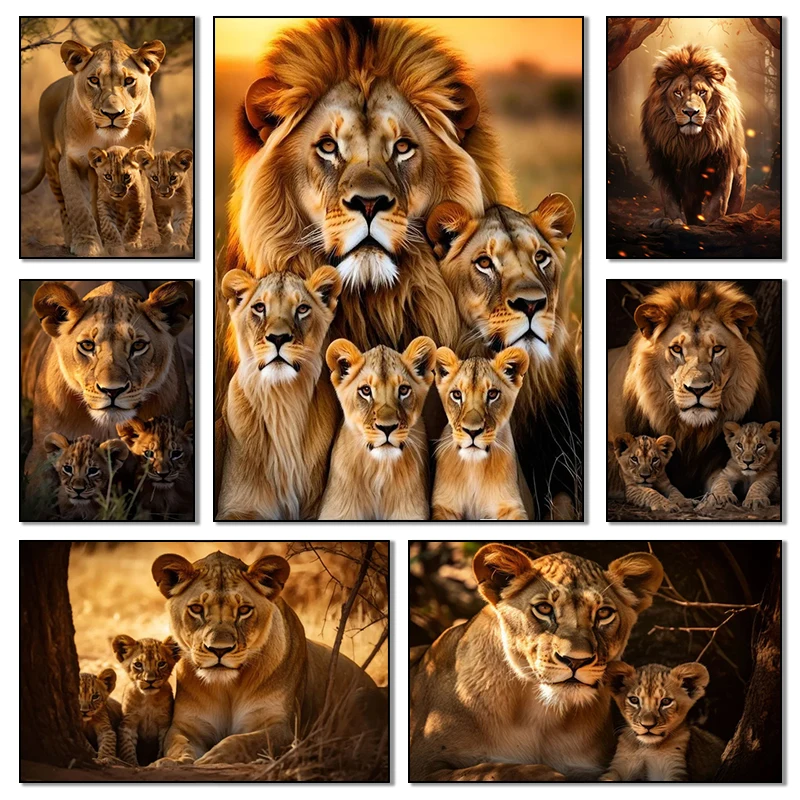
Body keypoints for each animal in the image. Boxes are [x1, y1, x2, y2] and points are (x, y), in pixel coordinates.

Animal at [22, 39, 165, 256]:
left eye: (129, 81)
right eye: (94, 80)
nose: (112, 114)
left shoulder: (141, 159)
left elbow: (138, 202)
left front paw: (129, 241)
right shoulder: (71, 160)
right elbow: (78, 206)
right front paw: (87, 245)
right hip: (53, 164)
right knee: (64, 206)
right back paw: (71, 240)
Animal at [150, 550, 387, 766]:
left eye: (244, 610)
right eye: (196, 608)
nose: (219, 650)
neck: (227, 687)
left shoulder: (282, 728)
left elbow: (243, 741)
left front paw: (211, 759)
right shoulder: (187, 727)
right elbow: (178, 744)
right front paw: (170, 762)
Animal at [409, 544, 664, 781]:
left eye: (603, 613)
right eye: (544, 608)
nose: (575, 660)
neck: (539, 715)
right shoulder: (424, 765)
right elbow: (494, 770)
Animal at [432, 347, 530, 520]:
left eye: (492, 394)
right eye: (457, 395)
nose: (472, 431)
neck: (474, 467)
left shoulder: (511, 506)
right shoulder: (444, 506)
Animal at [641, 44, 747, 228]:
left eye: (702, 92)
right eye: (677, 92)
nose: (691, 112)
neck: (691, 143)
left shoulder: (723, 169)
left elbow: (717, 206)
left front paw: (710, 224)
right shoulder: (665, 170)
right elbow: (670, 204)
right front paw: (672, 222)